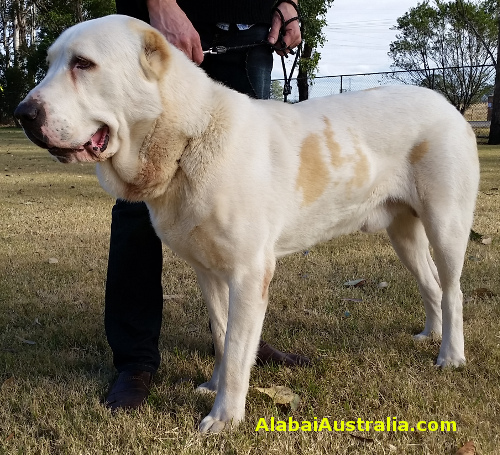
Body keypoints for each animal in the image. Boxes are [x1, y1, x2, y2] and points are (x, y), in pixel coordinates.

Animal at [15, 16, 480, 432]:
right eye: (50, 64)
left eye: (83, 64)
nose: (22, 112)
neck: (188, 140)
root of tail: (446, 104)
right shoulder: (208, 273)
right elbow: (223, 337)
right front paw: (215, 385)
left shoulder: (249, 273)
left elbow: (239, 349)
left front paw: (225, 417)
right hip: (403, 234)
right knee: (431, 286)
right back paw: (431, 336)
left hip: (446, 226)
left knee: (453, 291)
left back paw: (451, 356)